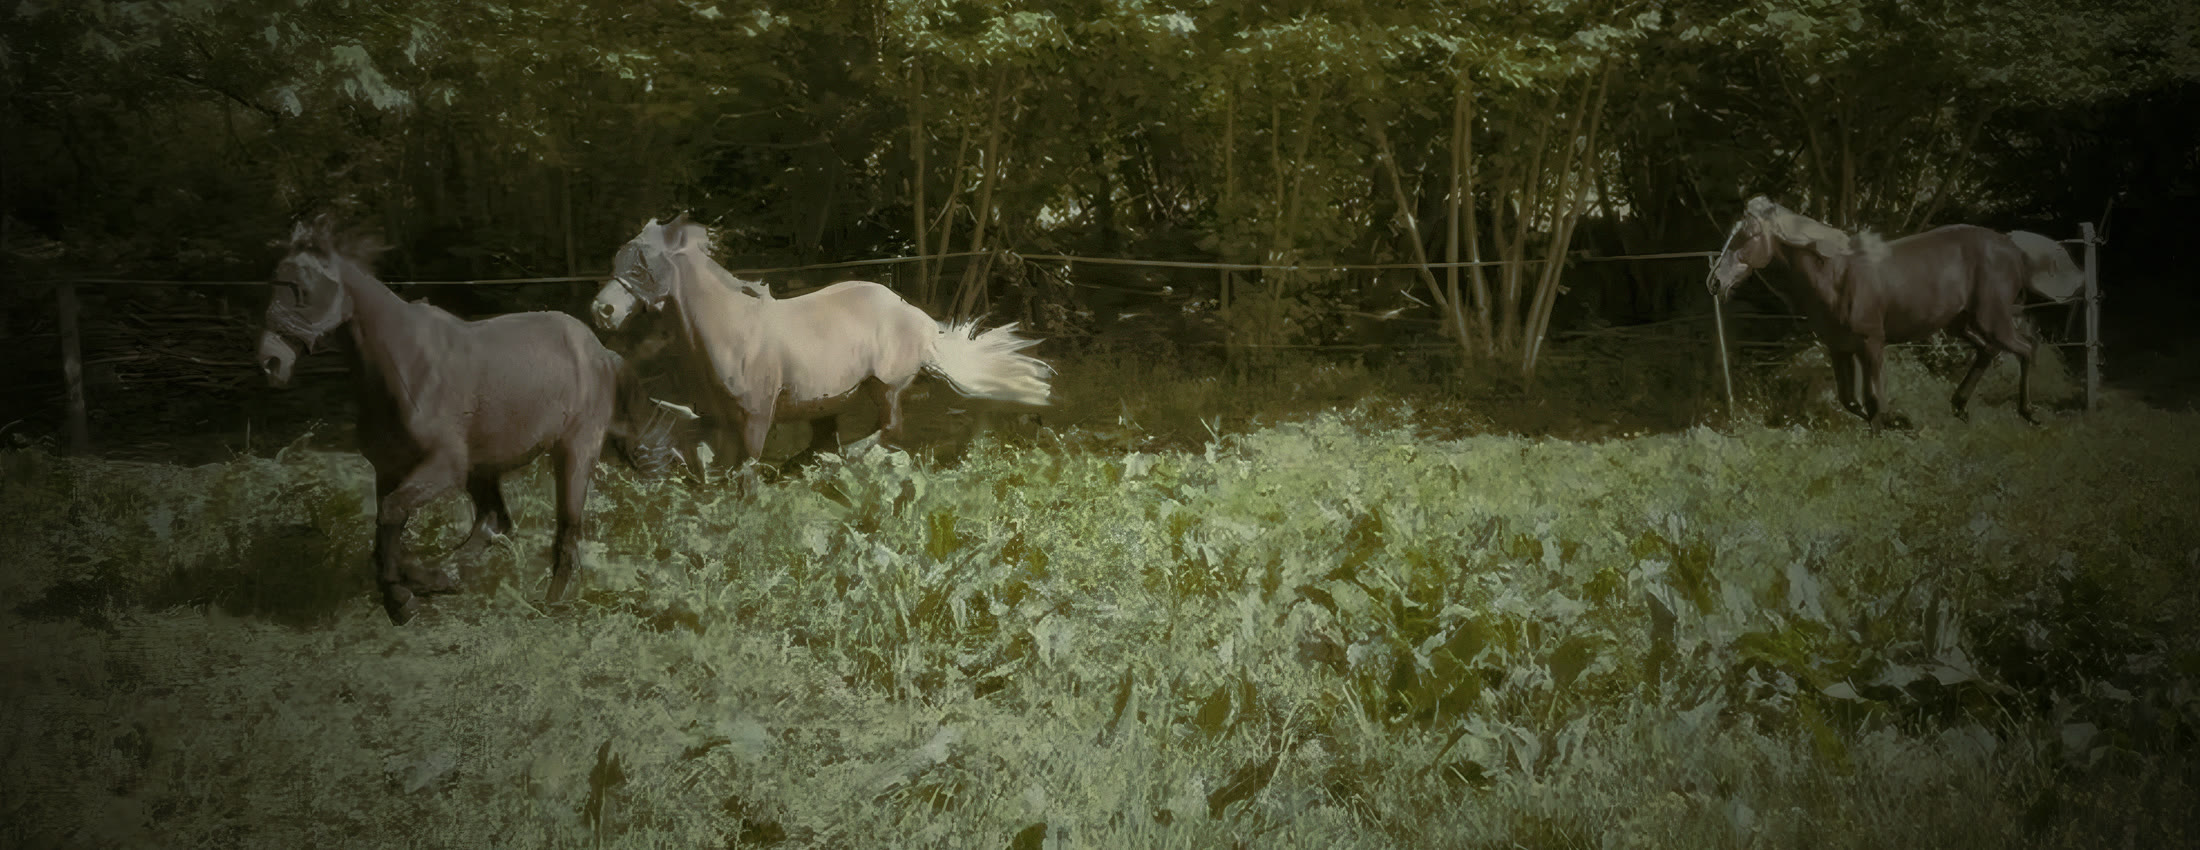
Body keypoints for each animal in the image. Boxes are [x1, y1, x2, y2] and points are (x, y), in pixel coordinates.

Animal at [255, 217, 667, 624]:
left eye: (300, 287)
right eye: (274, 281)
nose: (269, 362)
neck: (405, 370)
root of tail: (599, 351)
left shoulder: (444, 467)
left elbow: (391, 515)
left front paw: (401, 599)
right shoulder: (388, 471)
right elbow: (385, 530)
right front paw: (417, 585)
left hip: (573, 452)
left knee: (566, 527)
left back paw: (552, 599)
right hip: (484, 468)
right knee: (493, 522)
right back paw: (453, 574)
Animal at [589, 214, 1054, 479]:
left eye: (641, 265)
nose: (601, 310)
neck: (729, 329)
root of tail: (920, 322)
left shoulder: (755, 418)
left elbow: (746, 472)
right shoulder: (715, 420)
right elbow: (708, 465)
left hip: (884, 387)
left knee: (888, 430)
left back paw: (850, 459)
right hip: (828, 403)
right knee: (827, 443)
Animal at [1709, 196, 2083, 427]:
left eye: (1748, 234)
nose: (1715, 282)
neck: (1835, 276)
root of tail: (2011, 246)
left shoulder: (1872, 343)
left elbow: (1874, 400)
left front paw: (1896, 425)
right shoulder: (1840, 349)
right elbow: (1850, 400)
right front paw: (1897, 422)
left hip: (1992, 318)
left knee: (2026, 348)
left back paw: (2029, 413)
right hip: (1960, 323)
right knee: (1989, 351)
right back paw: (1960, 406)